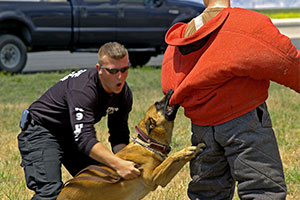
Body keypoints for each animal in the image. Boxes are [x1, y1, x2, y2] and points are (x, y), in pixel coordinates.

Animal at [57, 90, 205, 200]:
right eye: (158, 104)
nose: (170, 90)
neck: (148, 144)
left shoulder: (162, 179)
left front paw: (194, 150)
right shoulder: (154, 177)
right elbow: (171, 157)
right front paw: (185, 151)